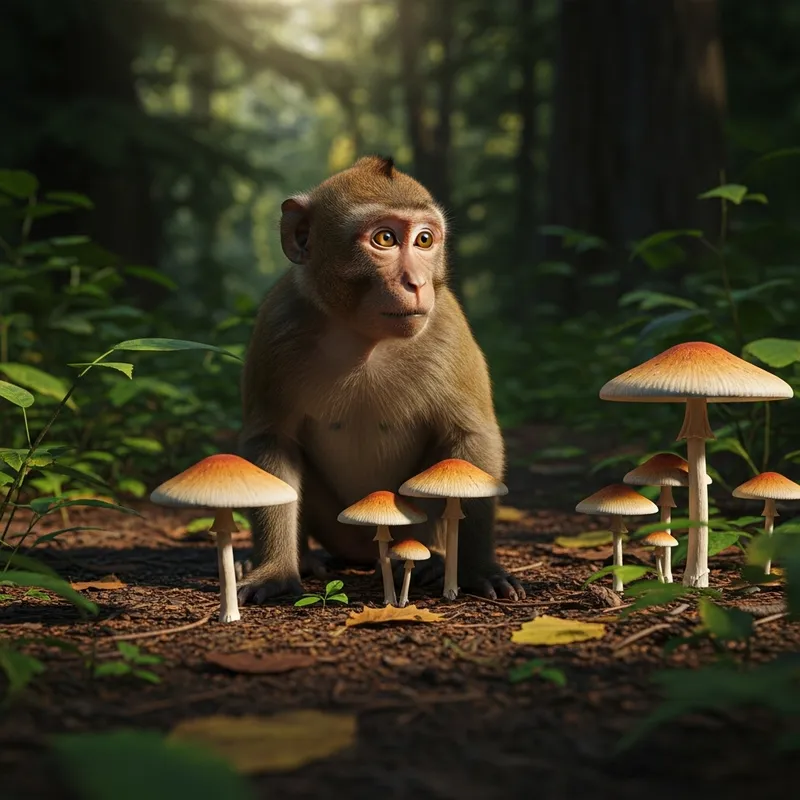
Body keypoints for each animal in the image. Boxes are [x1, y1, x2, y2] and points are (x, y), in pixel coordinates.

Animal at [237, 155, 525, 603]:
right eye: (385, 238)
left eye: (424, 240)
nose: (417, 283)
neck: (365, 340)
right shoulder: (277, 325)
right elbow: (272, 442)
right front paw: (275, 571)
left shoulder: (448, 326)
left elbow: (471, 439)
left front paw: (478, 569)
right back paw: (302, 559)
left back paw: (436, 560)